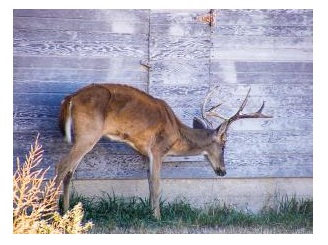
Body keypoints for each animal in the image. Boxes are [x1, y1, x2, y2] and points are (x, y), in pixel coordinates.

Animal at [55, 83, 272, 219]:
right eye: (224, 145)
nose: (223, 171)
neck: (176, 133)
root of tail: (70, 98)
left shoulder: (145, 154)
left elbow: (150, 184)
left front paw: (150, 214)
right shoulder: (158, 149)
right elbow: (157, 185)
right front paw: (158, 217)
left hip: (82, 137)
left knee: (69, 171)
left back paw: (66, 212)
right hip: (88, 133)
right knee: (62, 166)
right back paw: (50, 212)